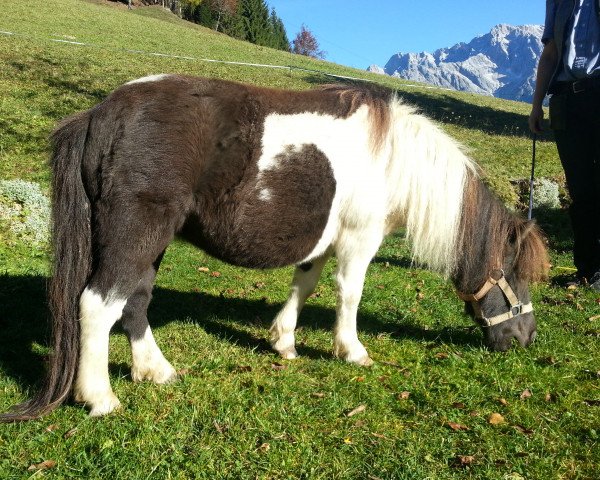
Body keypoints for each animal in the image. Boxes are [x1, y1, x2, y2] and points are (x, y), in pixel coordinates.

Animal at [0, 75, 548, 420]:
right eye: (516, 273)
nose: (525, 338)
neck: (393, 159)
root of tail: (101, 113)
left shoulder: (323, 241)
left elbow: (304, 284)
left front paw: (283, 341)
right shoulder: (359, 239)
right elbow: (349, 294)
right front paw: (351, 351)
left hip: (148, 243)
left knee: (133, 302)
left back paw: (155, 371)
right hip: (135, 234)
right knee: (98, 304)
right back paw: (100, 398)